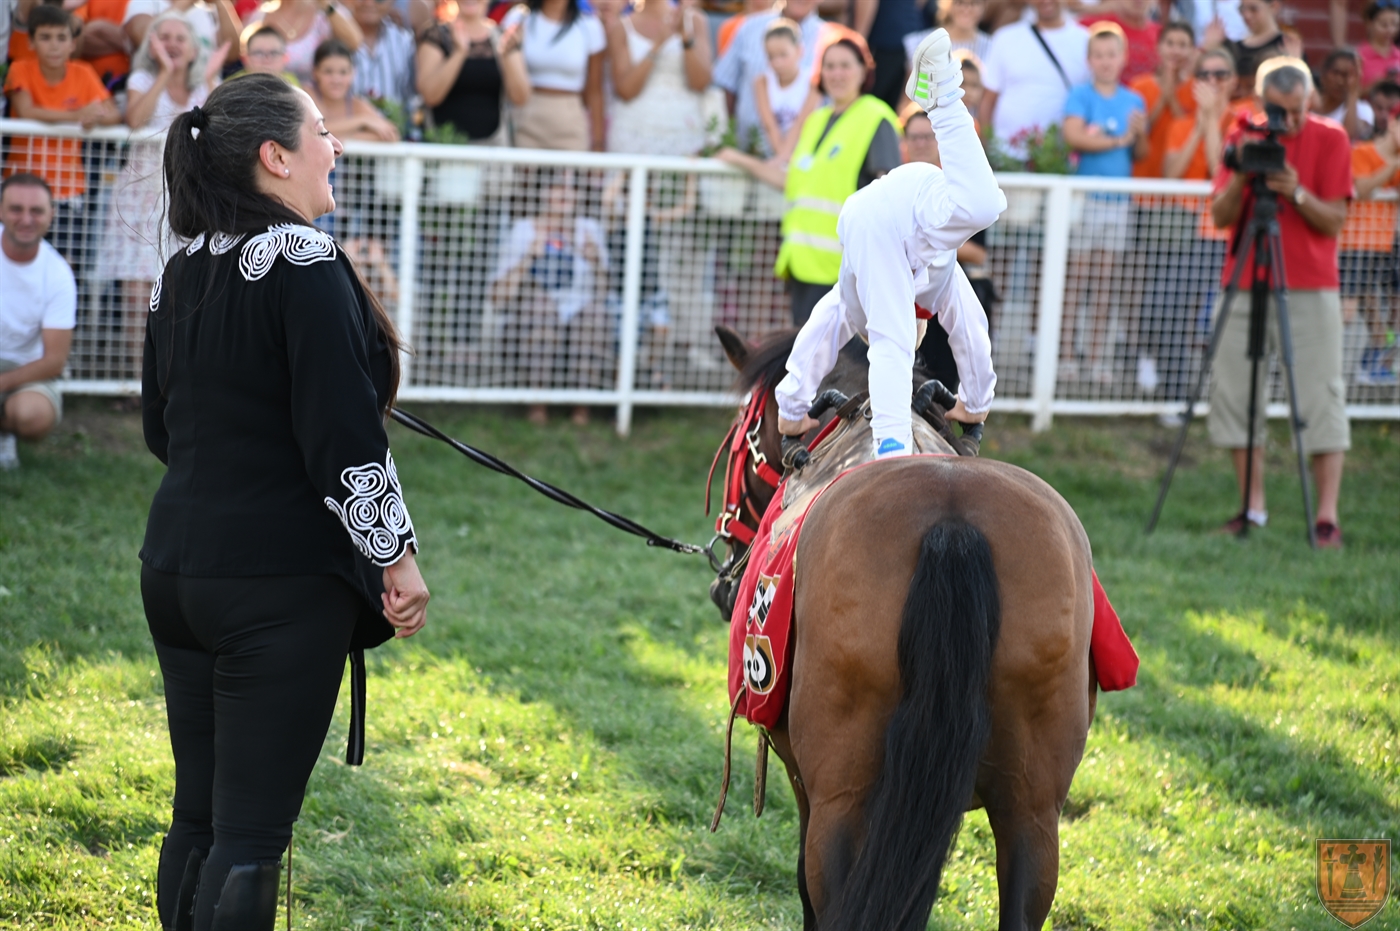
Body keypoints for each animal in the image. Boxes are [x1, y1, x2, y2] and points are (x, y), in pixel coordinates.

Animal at [709, 325, 1099, 931]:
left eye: (739, 439)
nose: (725, 582)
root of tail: (952, 522)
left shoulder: (807, 781)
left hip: (842, 799)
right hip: (1033, 811)